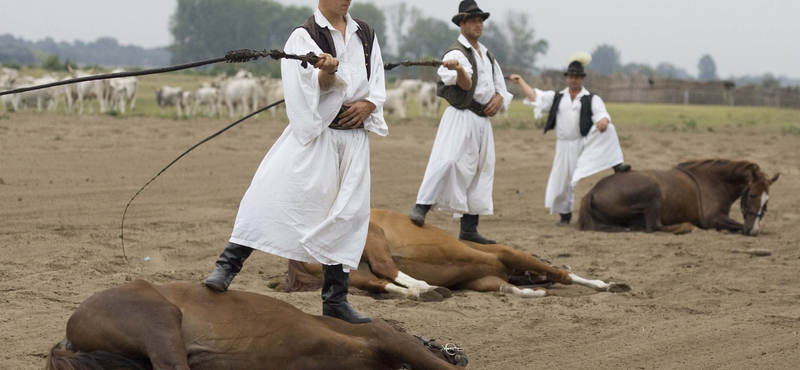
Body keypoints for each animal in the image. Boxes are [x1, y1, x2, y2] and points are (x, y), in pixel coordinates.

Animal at [286, 208, 632, 300]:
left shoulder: (482, 281)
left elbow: (509, 289)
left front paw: (533, 292)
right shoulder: (508, 255)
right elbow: (565, 275)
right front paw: (608, 285)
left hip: (353, 270)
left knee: (376, 282)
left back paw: (421, 291)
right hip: (372, 239)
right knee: (386, 267)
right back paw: (425, 287)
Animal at [580, 158, 780, 234]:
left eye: (767, 202)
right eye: (752, 195)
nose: (753, 230)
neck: (714, 181)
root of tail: (592, 192)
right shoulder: (713, 219)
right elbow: (737, 225)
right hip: (652, 193)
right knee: (655, 226)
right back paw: (687, 227)